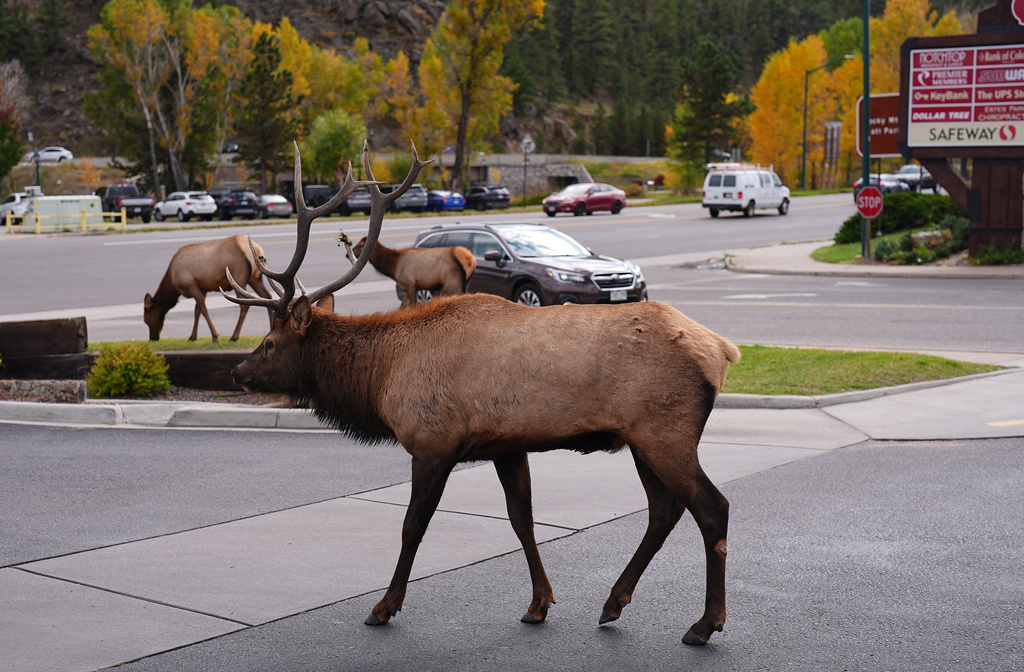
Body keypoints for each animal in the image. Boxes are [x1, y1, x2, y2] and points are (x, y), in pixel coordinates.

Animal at [144, 235, 274, 342]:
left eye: (147, 320)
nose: (153, 338)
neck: (172, 280)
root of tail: (258, 250)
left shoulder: (191, 285)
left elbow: (203, 309)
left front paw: (215, 336)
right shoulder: (202, 288)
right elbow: (197, 310)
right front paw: (192, 337)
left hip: (239, 277)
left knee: (245, 305)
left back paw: (234, 336)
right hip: (255, 278)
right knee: (267, 296)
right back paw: (271, 327)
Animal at [345, 235, 477, 309]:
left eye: (361, 245)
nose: (347, 255)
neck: (394, 268)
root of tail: (471, 260)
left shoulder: (411, 284)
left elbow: (412, 306)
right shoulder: (405, 288)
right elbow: (402, 308)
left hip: (453, 283)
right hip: (466, 283)